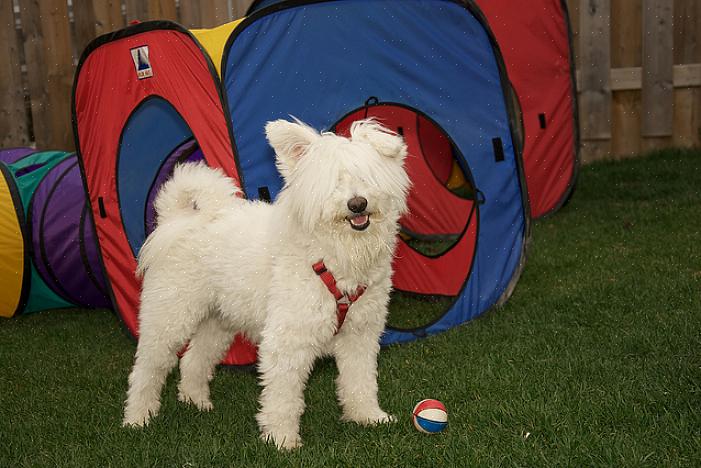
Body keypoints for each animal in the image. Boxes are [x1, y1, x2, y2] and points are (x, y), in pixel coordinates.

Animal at [122, 118, 410, 450]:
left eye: (367, 176)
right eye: (329, 183)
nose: (357, 204)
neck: (333, 255)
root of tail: (178, 217)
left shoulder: (360, 335)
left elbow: (360, 381)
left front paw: (368, 416)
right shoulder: (287, 341)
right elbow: (283, 397)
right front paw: (282, 439)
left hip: (218, 321)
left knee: (194, 360)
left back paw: (196, 402)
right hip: (169, 316)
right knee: (146, 370)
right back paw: (137, 419)